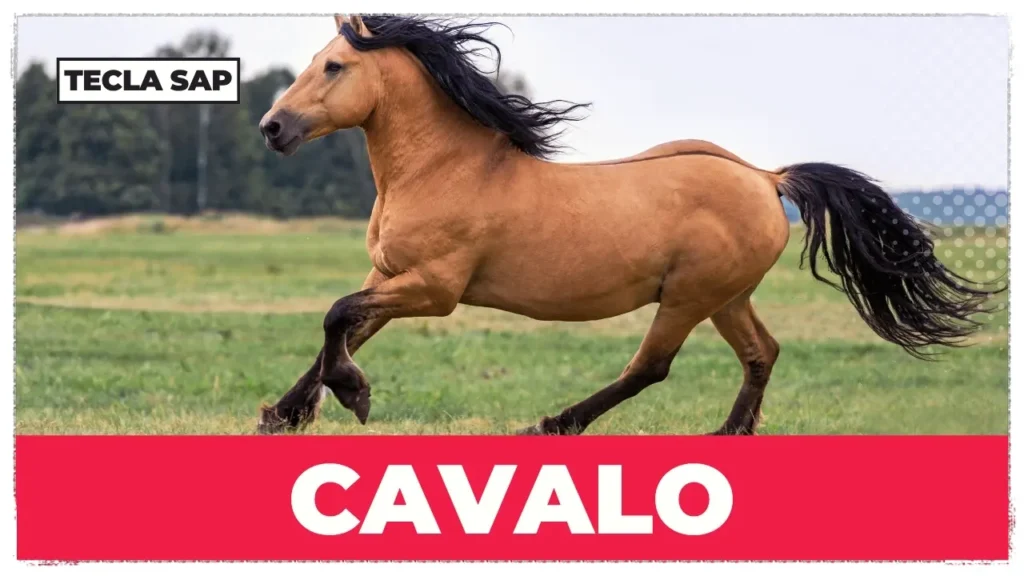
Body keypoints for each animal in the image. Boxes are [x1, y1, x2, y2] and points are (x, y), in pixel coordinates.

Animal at [255, 14, 1000, 435]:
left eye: (334, 66)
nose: (272, 128)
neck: (446, 167)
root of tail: (767, 178)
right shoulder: (390, 274)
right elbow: (344, 328)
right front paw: (282, 415)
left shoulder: (434, 289)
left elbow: (336, 316)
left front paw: (352, 397)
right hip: (728, 297)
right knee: (761, 353)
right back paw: (729, 435)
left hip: (689, 297)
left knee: (650, 367)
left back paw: (553, 424)